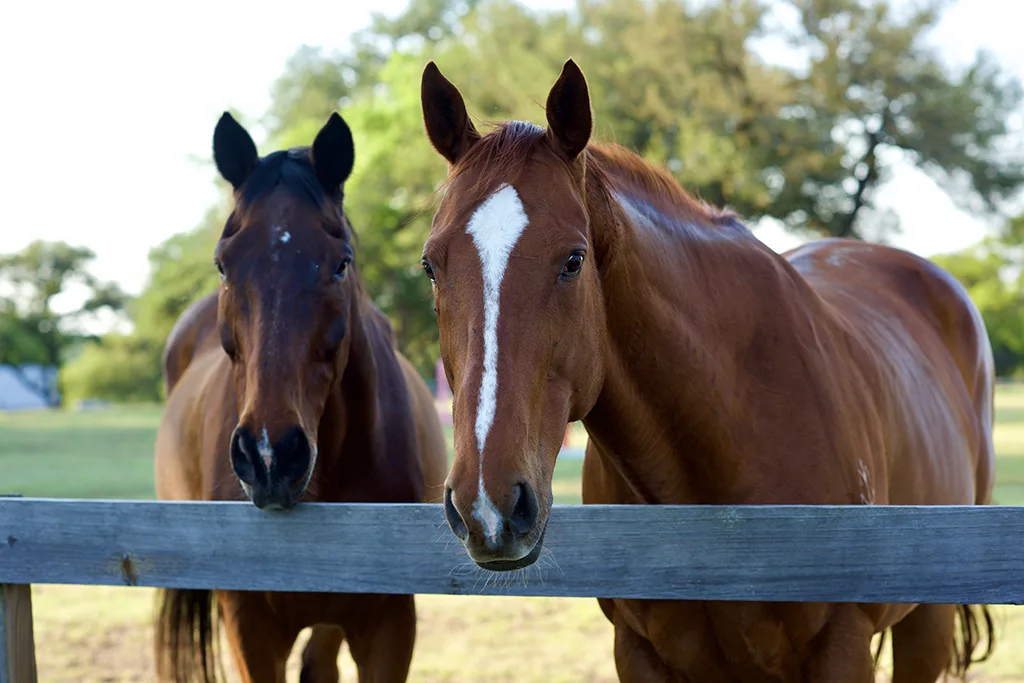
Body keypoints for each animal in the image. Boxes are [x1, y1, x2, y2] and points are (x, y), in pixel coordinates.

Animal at [417, 59, 996, 682]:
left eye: (573, 260)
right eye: (430, 265)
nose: (489, 506)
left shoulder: (842, 647)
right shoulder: (638, 651)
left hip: (926, 625)